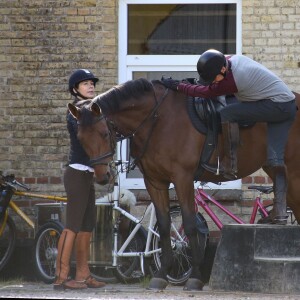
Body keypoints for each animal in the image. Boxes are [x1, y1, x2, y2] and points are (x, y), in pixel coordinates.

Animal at [67, 78, 300, 292]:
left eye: (104, 134)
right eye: (79, 138)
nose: (102, 176)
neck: (158, 120)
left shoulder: (183, 177)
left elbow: (190, 224)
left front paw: (195, 276)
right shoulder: (154, 181)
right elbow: (163, 225)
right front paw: (162, 274)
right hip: (276, 166)